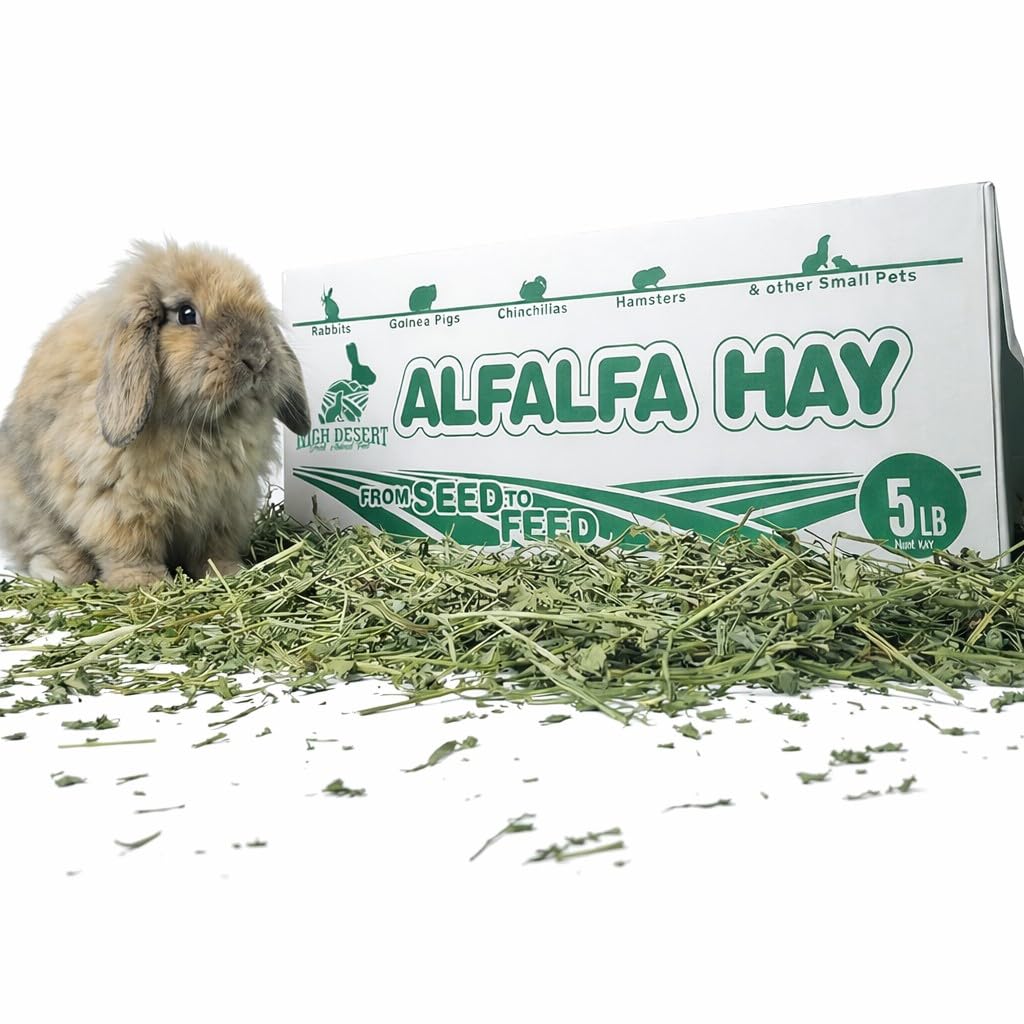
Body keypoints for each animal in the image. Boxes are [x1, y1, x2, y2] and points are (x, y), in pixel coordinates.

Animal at [0, 240, 311, 588]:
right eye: (186, 314)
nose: (257, 358)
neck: (202, 426)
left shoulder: (224, 508)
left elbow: (213, 551)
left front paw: (228, 573)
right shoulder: (120, 505)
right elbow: (132, 549)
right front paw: (145, 583)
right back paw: (58, 572)